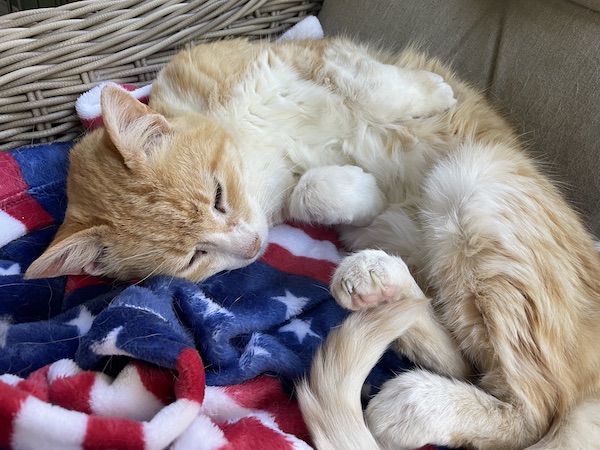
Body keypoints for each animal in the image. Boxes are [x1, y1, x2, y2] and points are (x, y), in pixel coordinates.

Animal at [23, 37, 600, 448]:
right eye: (193, 257)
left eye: (218, 196)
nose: (250, 247)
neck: (256, 149)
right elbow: (315, 190)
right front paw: (359, 191)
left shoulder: (308, 56)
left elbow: (370, 85)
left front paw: (433, 92)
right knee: (494, 381)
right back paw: (382, 300)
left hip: (477, 184)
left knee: (537, 402)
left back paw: (414, 397)